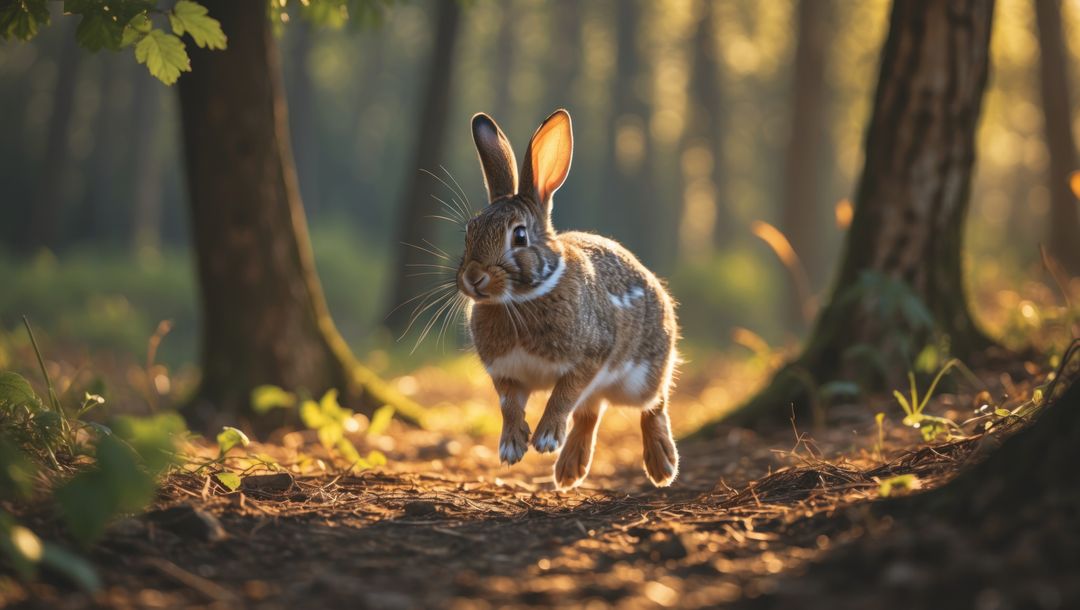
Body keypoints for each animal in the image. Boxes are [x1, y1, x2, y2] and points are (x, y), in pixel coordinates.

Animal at [455, 108, 680, 490]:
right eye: (470, 232)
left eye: (519, 236)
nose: (473, 278)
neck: (521, 298)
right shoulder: (505, 372)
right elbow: (508, 405)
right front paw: (512, 446)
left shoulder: (589, 357)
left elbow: (563, 395)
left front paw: (546, 438)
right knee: (592, 412)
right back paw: (569, 470)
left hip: (642, 374)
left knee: (654, 404)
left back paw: (662, 465)